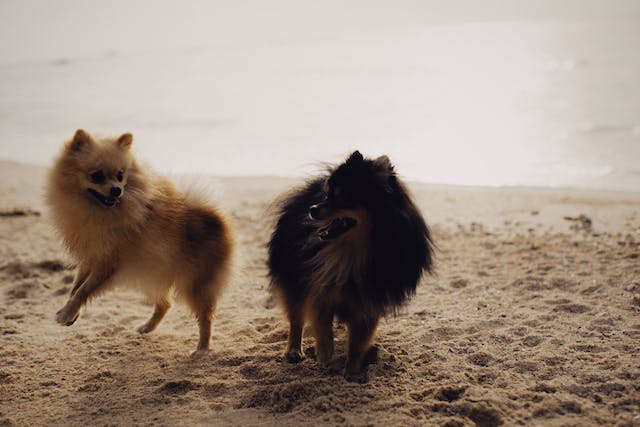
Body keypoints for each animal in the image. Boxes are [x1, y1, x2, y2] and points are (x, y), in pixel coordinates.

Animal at [47, 130, 232, 352]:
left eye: (120, 175)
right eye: (97, 175)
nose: (117, 190)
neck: (100, 212)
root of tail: (216, 216)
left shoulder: (107, 263)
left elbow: (84, 290)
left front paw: (67, 313)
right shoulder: (90, 258)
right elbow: (76, 287)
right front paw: (70, 314)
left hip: (196, 284)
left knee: (205, 317)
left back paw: (202, 348)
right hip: (151, 275)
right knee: (165, 304)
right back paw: (146, 328)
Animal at [264, 151, 436, 384]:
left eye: (342, 197)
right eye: (327, 194)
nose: (312, 208)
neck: (351, 252)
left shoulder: (369, 300)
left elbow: (358, 341)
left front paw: (353, 372)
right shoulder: (320, 285)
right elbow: (321, 323)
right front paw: (325, 353)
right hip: (293, 277)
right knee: (296, 317)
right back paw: (293, 351)